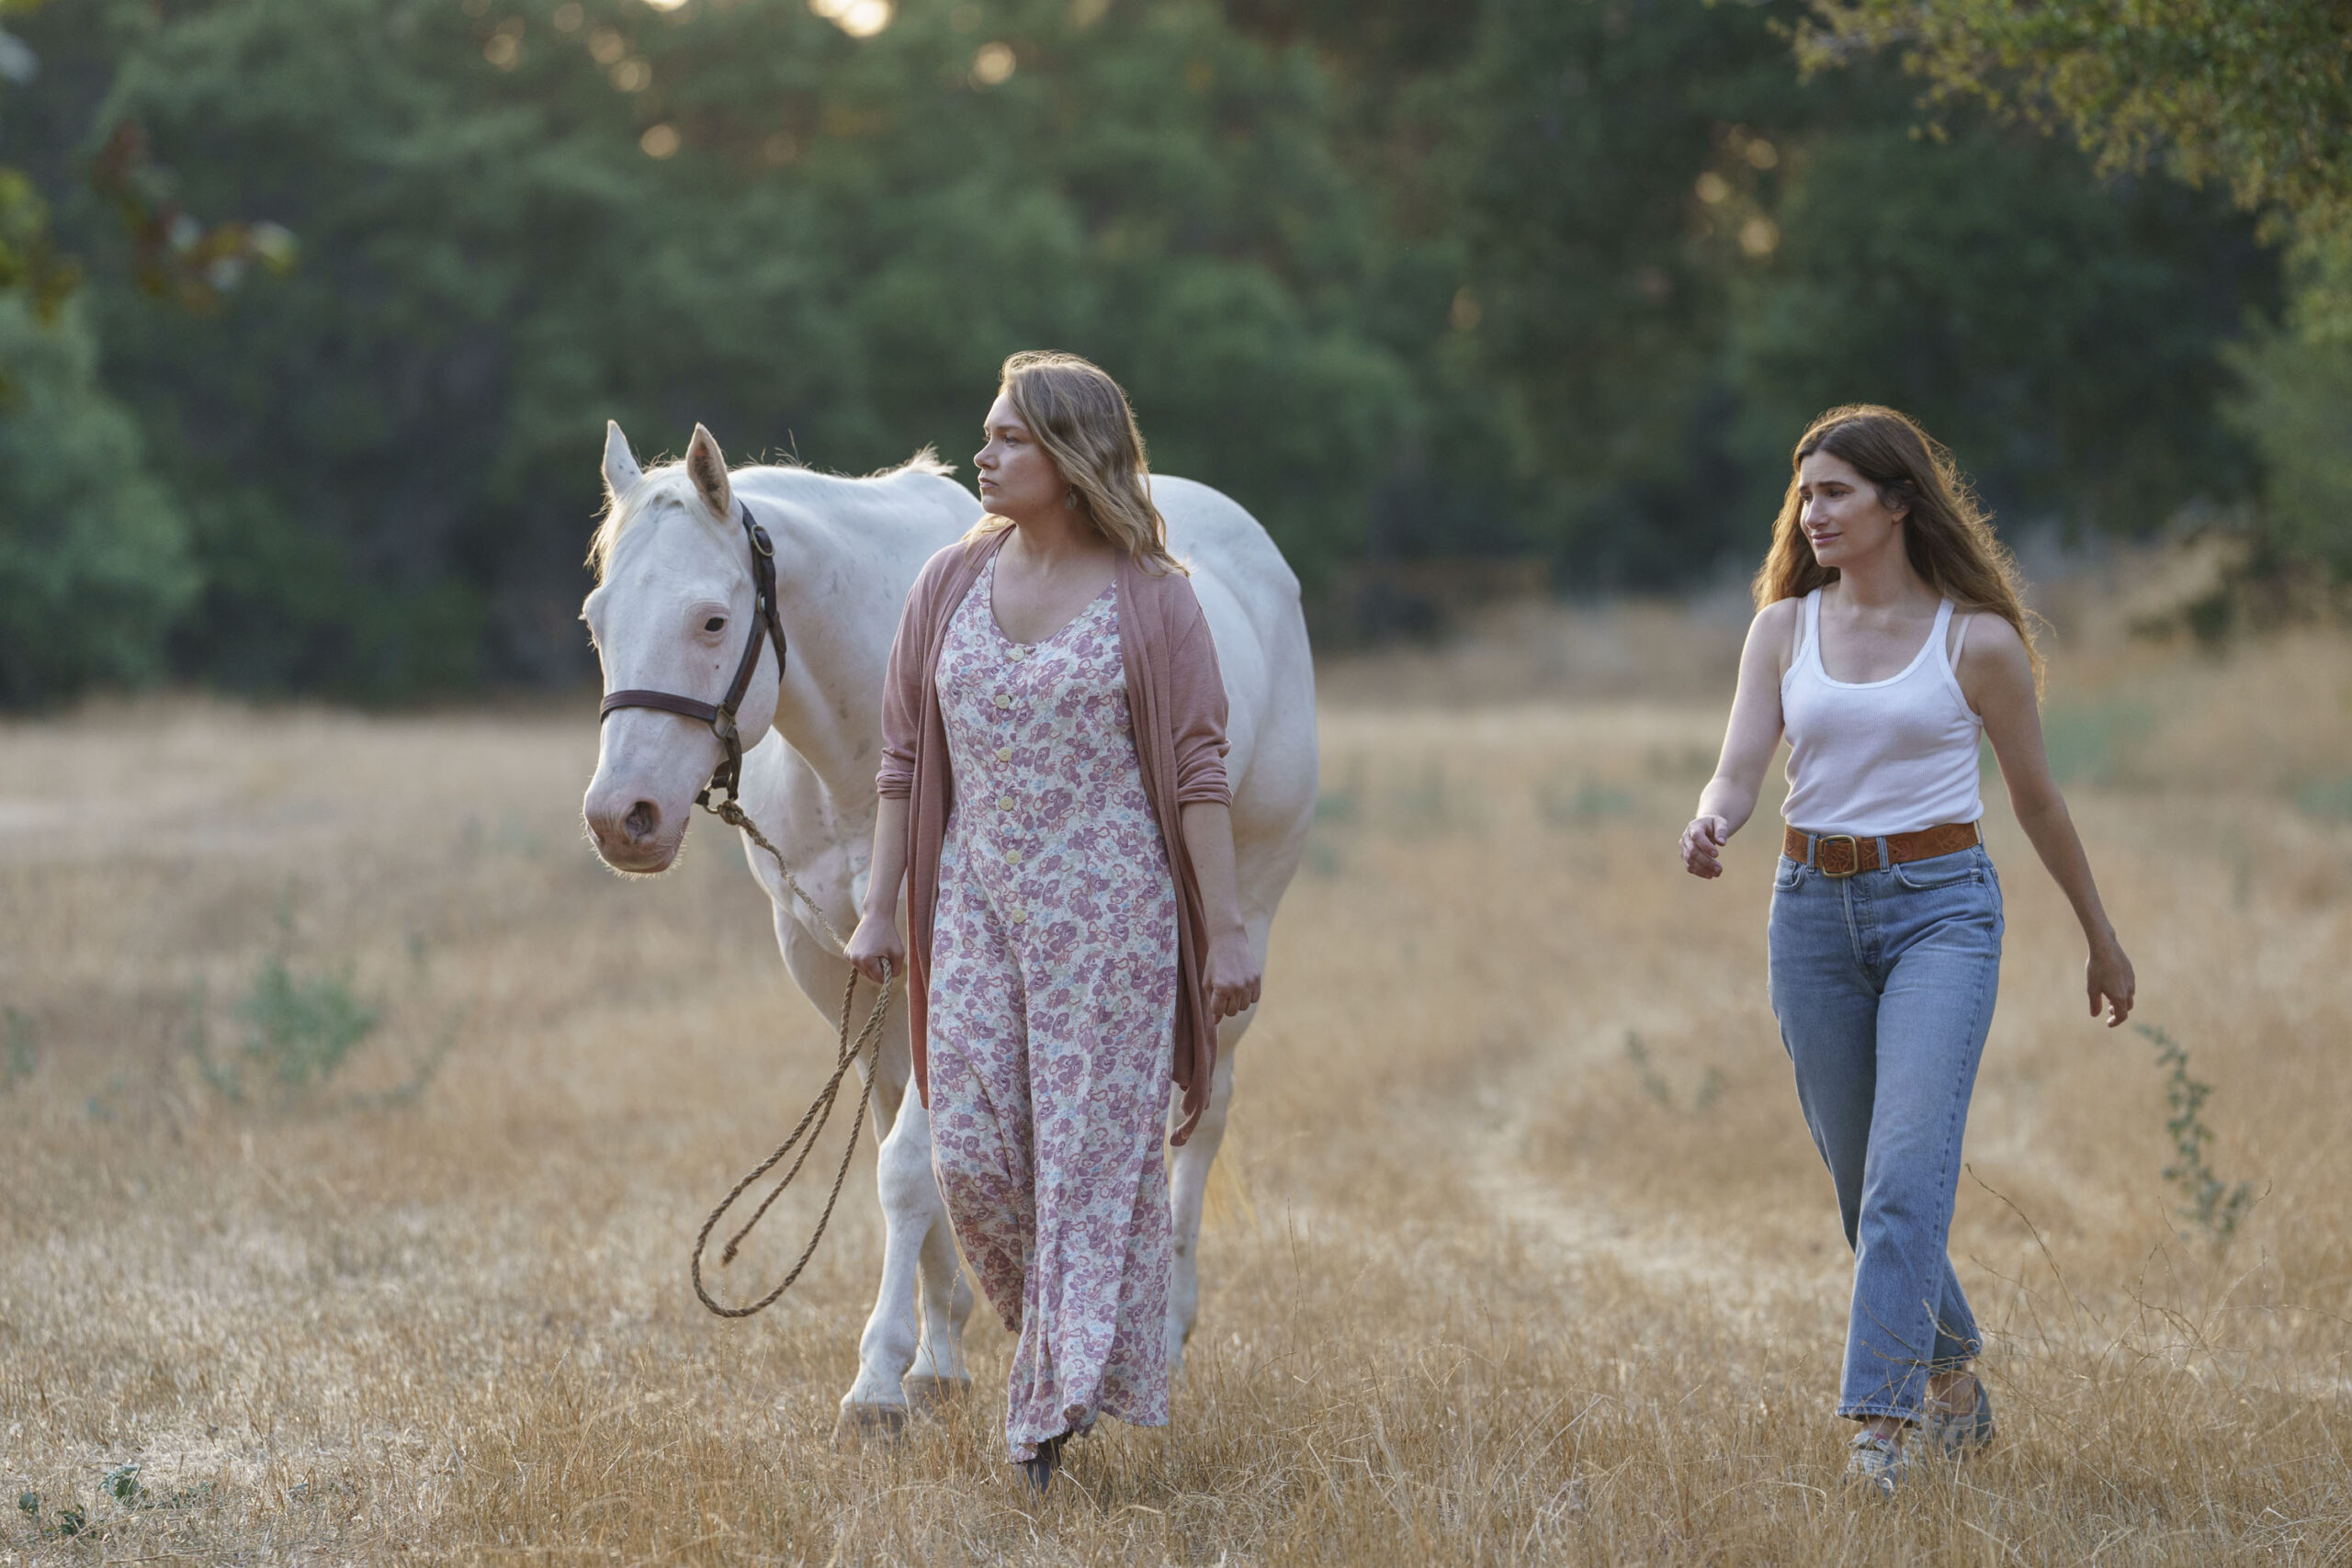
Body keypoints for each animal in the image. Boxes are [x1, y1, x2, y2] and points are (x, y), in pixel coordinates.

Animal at [578, 421, 1317, 1448]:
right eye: (596, 620)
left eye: (713, 622)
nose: (623, 820)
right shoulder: (837, 966)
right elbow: (912, 1150)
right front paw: (936, 1355)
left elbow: (904, 1168)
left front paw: (877, 1382)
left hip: (1238, 921)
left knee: (1200, 1119)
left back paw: (1162, 1333)